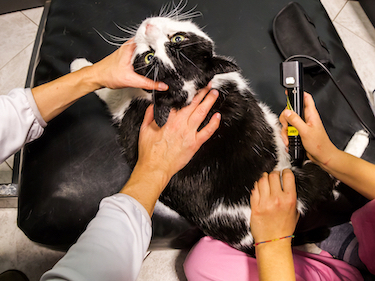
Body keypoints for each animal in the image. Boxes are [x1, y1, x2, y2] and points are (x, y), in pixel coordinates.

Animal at [70, 6, 368, 252]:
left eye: (177, 40)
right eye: (150, 57)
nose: (148, 26)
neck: (192, 92)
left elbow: (115, 93)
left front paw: (79, 65)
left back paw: (359, 137)